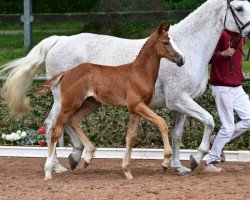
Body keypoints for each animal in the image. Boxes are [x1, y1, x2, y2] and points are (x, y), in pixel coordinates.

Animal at [37, 21, 184, 180]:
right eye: (165, 42)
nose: (181, 59)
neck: (140, 73)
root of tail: (67, 72)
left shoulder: (137, 108)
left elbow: (131, 137)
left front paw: (127, 171)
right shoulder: (136, 105)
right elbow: (162, 123)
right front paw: (165, 162)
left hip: (92, 104)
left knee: (73, 121)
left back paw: (87, 157)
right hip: (69, 104)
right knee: (56, 130)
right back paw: (48, 171)